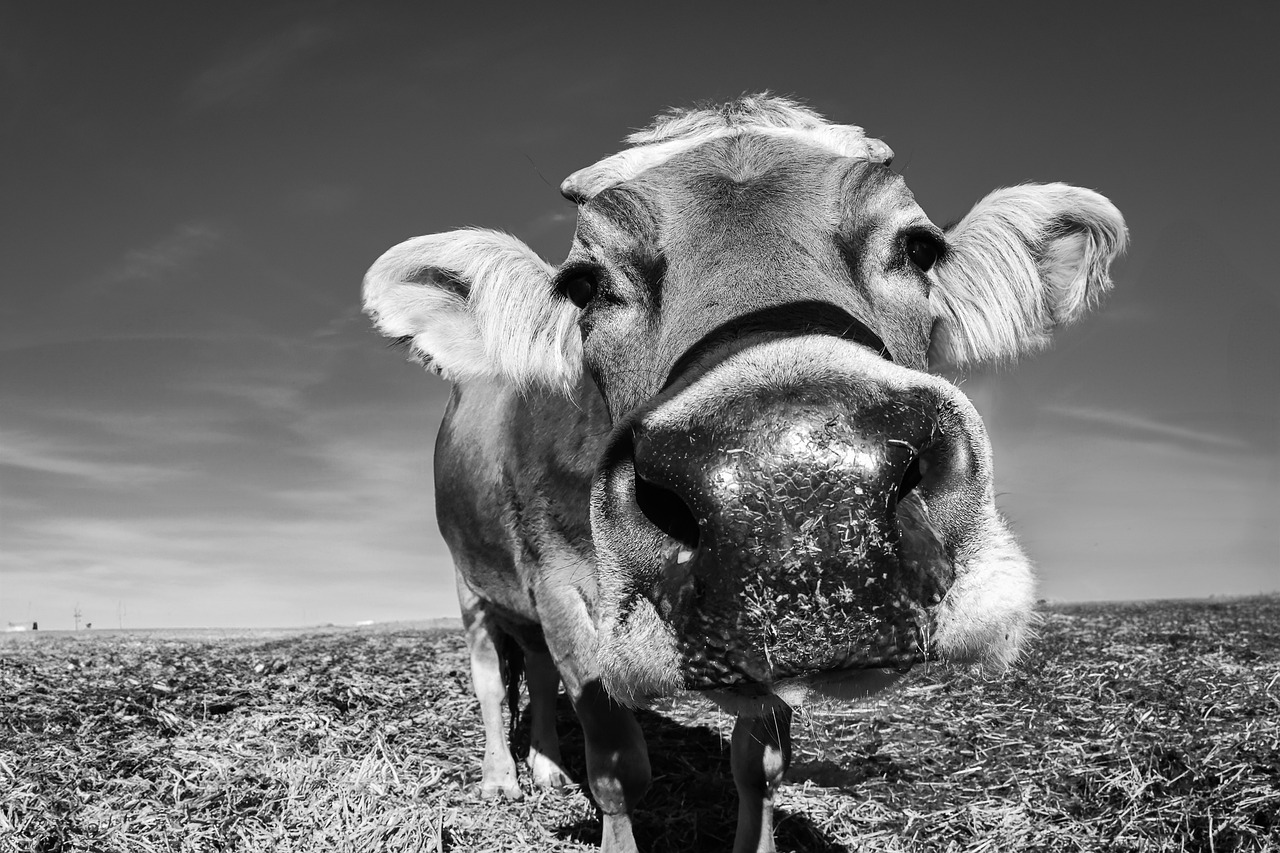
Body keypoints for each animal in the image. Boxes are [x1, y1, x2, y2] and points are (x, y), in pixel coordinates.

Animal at [362, 95, 1126, 853]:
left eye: (920, 246)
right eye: (583, 284)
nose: (796, 489)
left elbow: (759, 765)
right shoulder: (562, 592)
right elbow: (617, 767)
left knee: (539, 675)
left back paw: (547, 768)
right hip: (469, 583)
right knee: (493, 681)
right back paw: (501, 778)